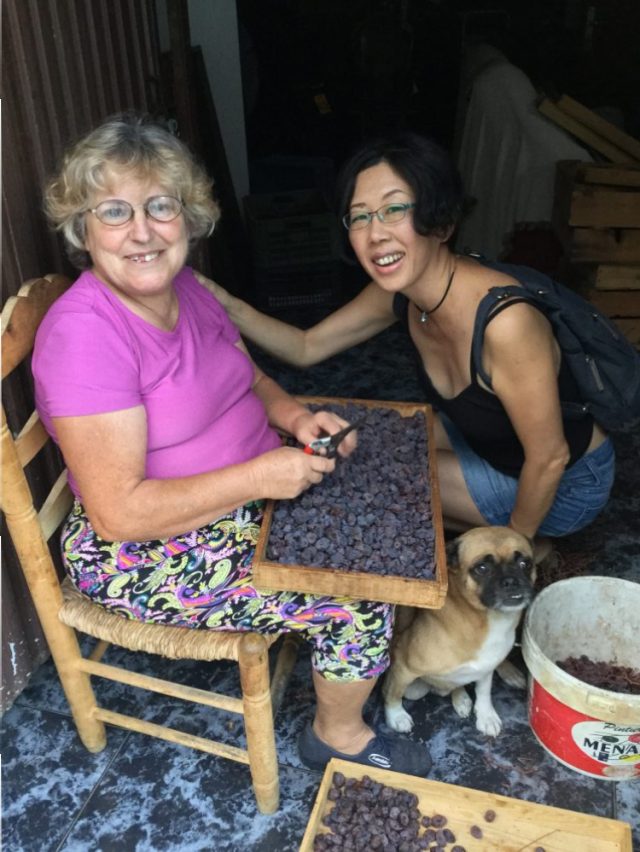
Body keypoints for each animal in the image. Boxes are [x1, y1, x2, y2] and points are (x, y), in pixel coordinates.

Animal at [383, 526, 539, 737]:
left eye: (525, 564)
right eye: (482, 568)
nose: (511, 581)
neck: (488, 621)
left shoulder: (486, 668)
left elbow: (484, 692)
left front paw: (486, 715)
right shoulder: (403, 668)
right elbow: (393, 693)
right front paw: (396, 716)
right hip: (414, 688)